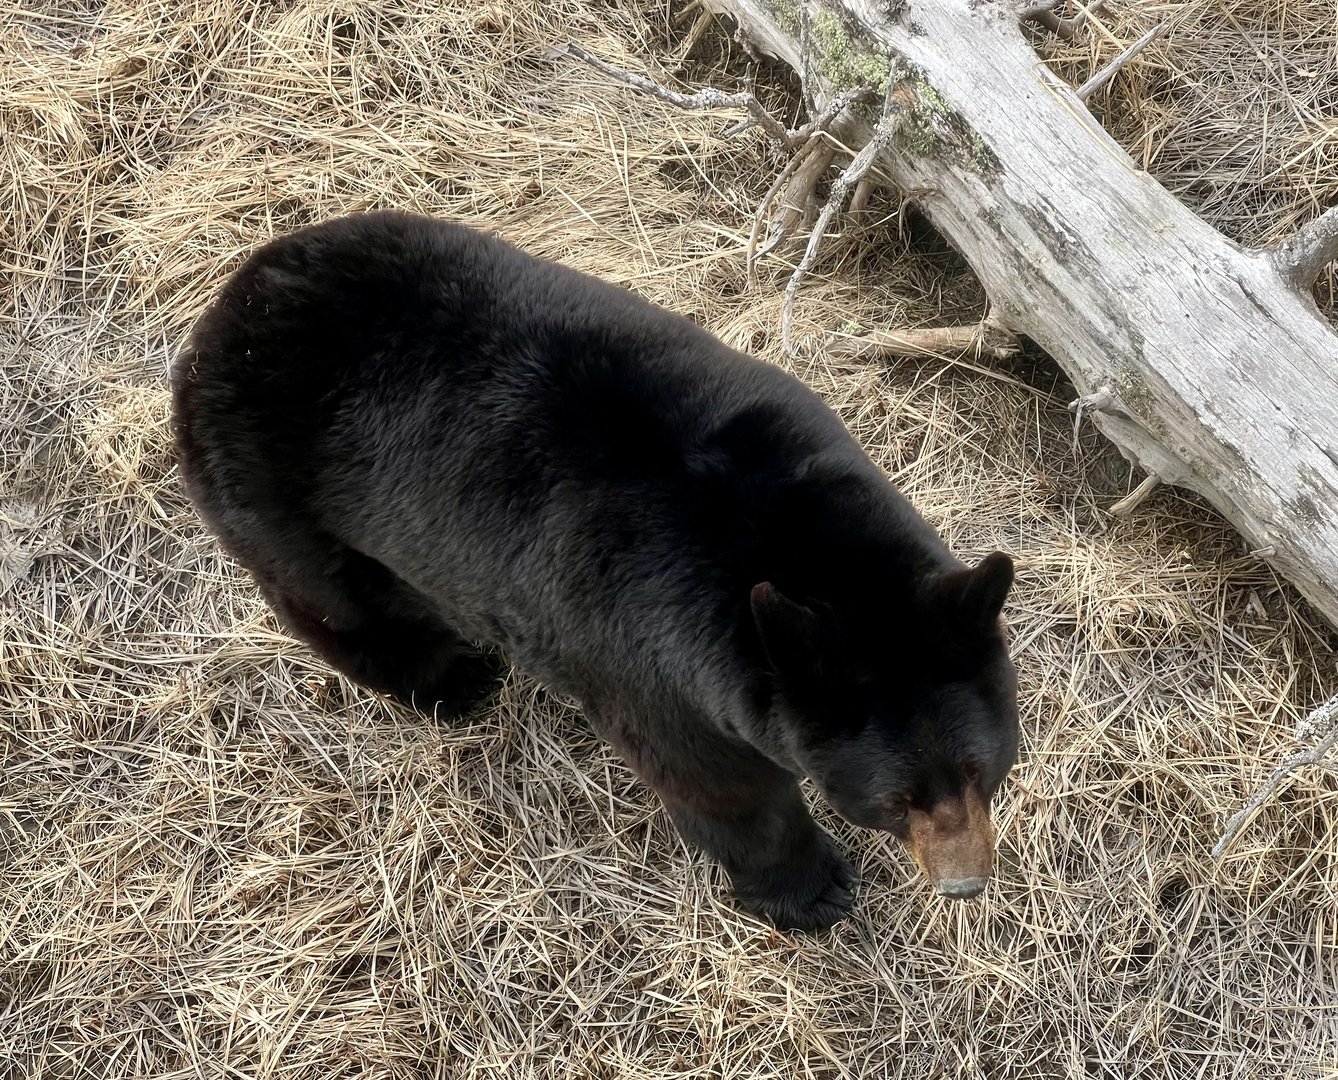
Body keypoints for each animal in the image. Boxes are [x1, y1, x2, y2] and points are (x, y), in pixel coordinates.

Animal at [171, 210, 1020, 932]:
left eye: (982, 768)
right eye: (895, 799)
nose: (965, 884)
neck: (786, 536)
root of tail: (221, 317)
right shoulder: (659, 672)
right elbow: (724, 790)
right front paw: (813, 892)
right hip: (276, 502)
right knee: (340, 607)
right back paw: (451, 681)